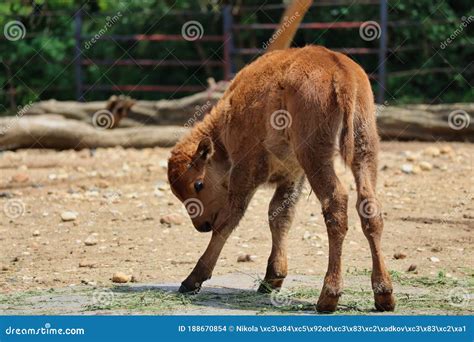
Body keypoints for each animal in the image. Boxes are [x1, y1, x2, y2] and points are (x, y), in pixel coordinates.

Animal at [168, 45, 396, 312]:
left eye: (198, 184)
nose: (202, 225)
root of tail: (341, 72)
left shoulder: (245, 169)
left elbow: (229, 219)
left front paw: (192, 280)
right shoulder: (292, 176)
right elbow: (279, 216)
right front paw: (271, 279)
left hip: (315, 155)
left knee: (336, 203)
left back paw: (328, 297)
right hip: (364, 147)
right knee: (369, 206)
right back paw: (384, 295)